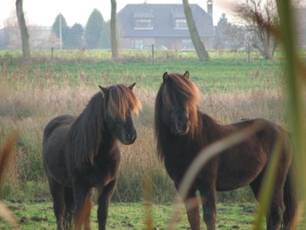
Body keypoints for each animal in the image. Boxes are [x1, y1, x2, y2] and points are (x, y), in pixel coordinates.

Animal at [42, 83, 142, 229]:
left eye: (130, 107)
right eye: (112, 109)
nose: (131, 136)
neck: (99, 155)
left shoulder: (108, 186)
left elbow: (101, 215)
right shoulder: (80, 186)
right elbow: (79, 216)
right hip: (54, 182)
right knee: (60, 211)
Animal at [154, 72, 298, 230]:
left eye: (189, 96)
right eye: (170, 95)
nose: (183, 124)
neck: (190, 142)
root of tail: (284, 132)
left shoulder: (207, 185)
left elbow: (209, 216)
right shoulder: (185, 187)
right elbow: (193, 219)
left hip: (274, 180)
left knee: (277, 212)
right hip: (259, 181)